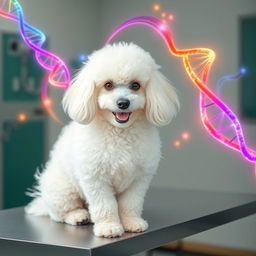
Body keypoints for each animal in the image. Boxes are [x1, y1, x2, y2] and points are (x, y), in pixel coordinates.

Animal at [25, 42, 178, 238]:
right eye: (108, 85)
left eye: (135, 85)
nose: (123, 103)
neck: (120, 133)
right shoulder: (95, 179)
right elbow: (105, 205)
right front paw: (109, 227)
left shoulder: (139, 180)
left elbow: (131, 204)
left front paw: (131, 222)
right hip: (62, 189)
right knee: (60, 213)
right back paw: (78, 216)